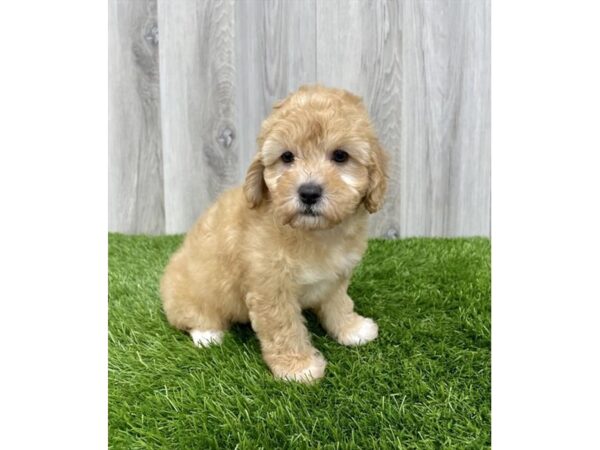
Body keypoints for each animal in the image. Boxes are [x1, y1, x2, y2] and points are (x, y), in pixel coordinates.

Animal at [161, 83, 390, 380]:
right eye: (287, 157)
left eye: (340, 156)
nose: (309, 192)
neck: (312, 232)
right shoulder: (270, 288)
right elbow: (284, 328)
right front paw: (298, 367)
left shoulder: (336, 276)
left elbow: (338, 303)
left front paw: (351, 329)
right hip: (191, 290)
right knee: (191, 315)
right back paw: (207, 333)